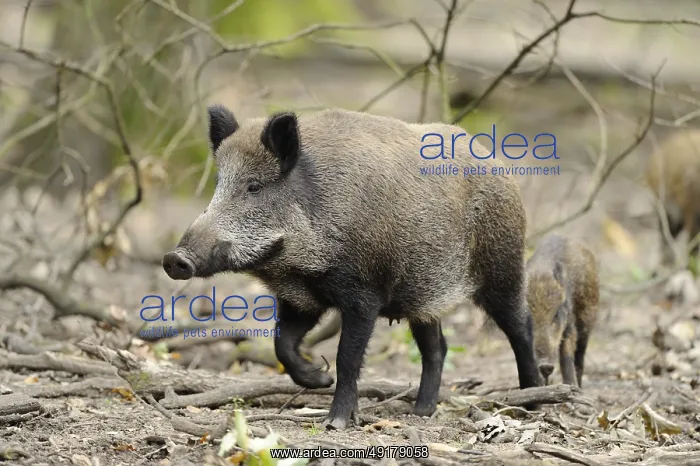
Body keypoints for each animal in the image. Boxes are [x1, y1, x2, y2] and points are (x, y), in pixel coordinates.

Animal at [162, 105, 544, 429]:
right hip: (424, 293)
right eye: (218, 184)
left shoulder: (364, 294)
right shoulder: (301, 299)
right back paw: (420, 412)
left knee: (521, 326)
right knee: (438, 347)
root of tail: (494, 159)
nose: (174, 259)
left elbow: (347, 357)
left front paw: (335, 422)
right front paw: (319, 377)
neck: (297, 265)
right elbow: (281, 343)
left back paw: (533, 400)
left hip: (502, 267)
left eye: (253, 186)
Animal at [525, 234, 599, 387]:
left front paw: (571, 387)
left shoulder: (569, 323)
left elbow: (566, 355)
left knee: (580, 357)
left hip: (588, 316)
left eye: (555, 315)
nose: (544, 365)